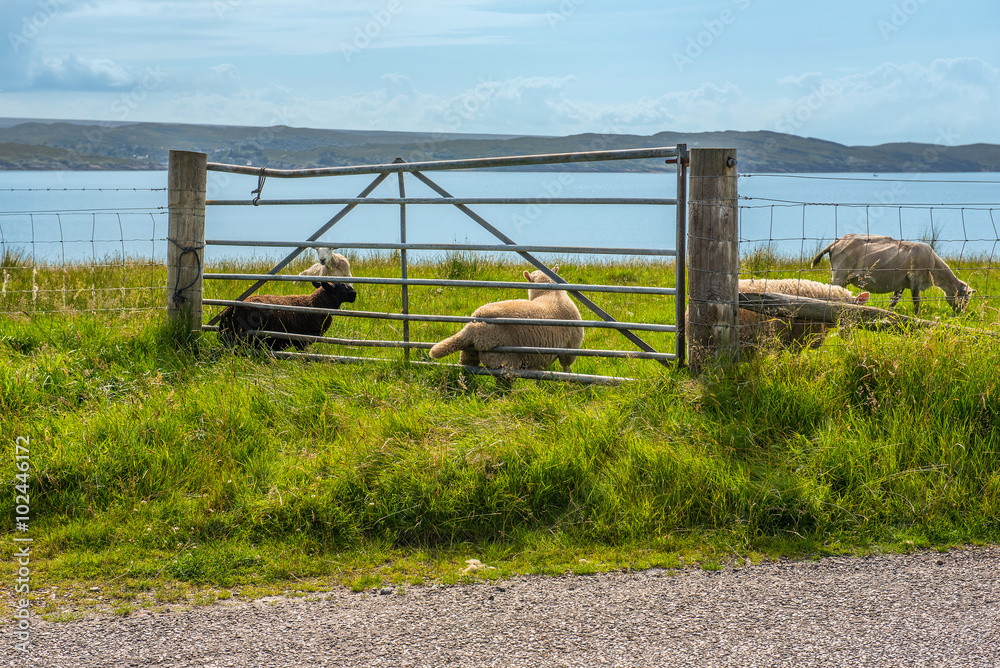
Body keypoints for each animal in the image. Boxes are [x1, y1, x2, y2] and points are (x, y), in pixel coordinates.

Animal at [429, 266, 584, 372]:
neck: (549, 293)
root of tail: (474, 327)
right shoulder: (570, 348)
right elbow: (566, 368)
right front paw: (568, 383)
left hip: (469, 353)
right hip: (504, 359)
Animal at [811, 233, 974, 315]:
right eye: (965, 298)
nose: (961, 314)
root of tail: (835, 243)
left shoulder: (901, 284)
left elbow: (894, 302)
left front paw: (889, 315)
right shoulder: (915, 278)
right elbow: (916, 302)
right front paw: (917, 317)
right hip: (839, 273)